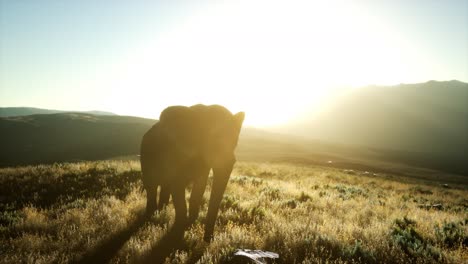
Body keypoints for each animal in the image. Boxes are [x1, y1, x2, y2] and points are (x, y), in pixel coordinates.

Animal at [140, 103, 245, 241]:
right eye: (212, 138)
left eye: (235, 142)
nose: (209, 240)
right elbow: (177, 186)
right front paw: (177, 233)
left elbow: (199, 188)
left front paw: (189, 225)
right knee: (151, 186)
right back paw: (151, 215)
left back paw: (162, 210)